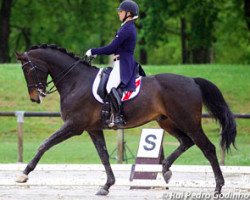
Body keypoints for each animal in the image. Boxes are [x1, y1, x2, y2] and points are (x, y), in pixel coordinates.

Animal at [15, 43, 236, 195]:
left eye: (27, 69)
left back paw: (218, 187)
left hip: (188, 121)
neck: (75, 81)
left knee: (208, 148)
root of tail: (192, 80)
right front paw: (106, 185)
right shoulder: (92, 128)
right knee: (186, 141)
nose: (35, 98)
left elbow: (44, 144)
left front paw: (23, 174)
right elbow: (103, 156)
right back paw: (165, 169)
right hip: (167, 121)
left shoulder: (74, 126)